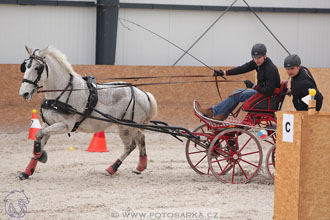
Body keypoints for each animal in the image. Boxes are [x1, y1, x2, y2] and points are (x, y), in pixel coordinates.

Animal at [17, 45, 157, 180]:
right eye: (25, 66)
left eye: (37, 68)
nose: (24, 93)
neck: (62, 92)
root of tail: (144, 93)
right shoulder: (48, 123)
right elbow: (39, 138)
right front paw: (27, 171)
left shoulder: (65, 126)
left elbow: (38, 134)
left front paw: (41, 156)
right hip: (130, 126)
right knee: (141, 139)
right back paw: (139, 167)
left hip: (126, 127)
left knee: (130, 146)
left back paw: (112, 168)